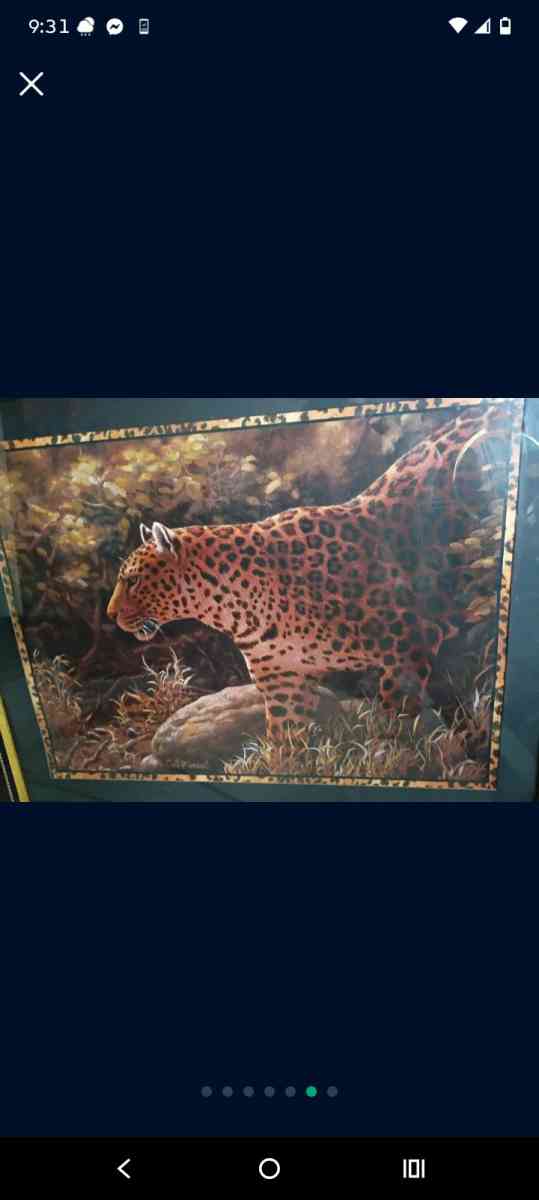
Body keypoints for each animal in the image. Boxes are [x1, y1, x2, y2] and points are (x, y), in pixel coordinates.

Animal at [107, 403, 512, 765]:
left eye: (133, 580)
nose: (110, 615)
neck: (233, 609)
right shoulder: (282, 679)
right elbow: (286, 739)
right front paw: (285, 766)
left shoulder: (408, 646)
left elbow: (400, 715)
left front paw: (397, 753)